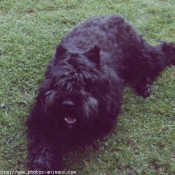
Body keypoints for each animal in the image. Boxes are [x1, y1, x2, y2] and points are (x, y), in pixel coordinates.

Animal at [26, 14, 175, 172]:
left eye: (85, 82)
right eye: (59, 81)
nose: (68, 104)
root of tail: (115, 16)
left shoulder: (103, 119)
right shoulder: (39, 116)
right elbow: (41, 141)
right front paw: (42, 162)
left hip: (141, 55)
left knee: (156, 59)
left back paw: (145, 83)